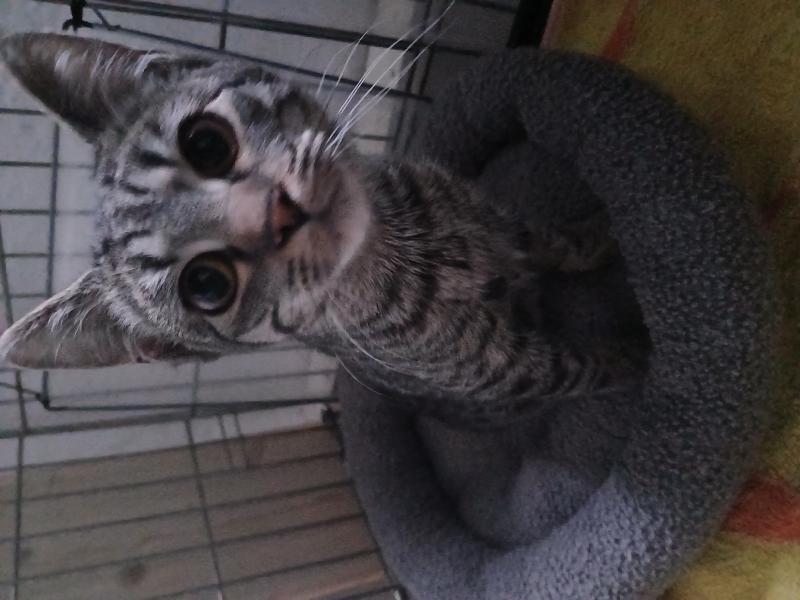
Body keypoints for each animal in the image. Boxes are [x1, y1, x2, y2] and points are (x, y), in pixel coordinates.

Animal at [0, 33, 637, 427]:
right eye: (206, 285)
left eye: (206, 142)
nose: (279, 212)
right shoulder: (507, 369)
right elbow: (583, 372)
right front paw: (644, 361)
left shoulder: (502, 222)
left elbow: (555, 242)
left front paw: (602, 238)